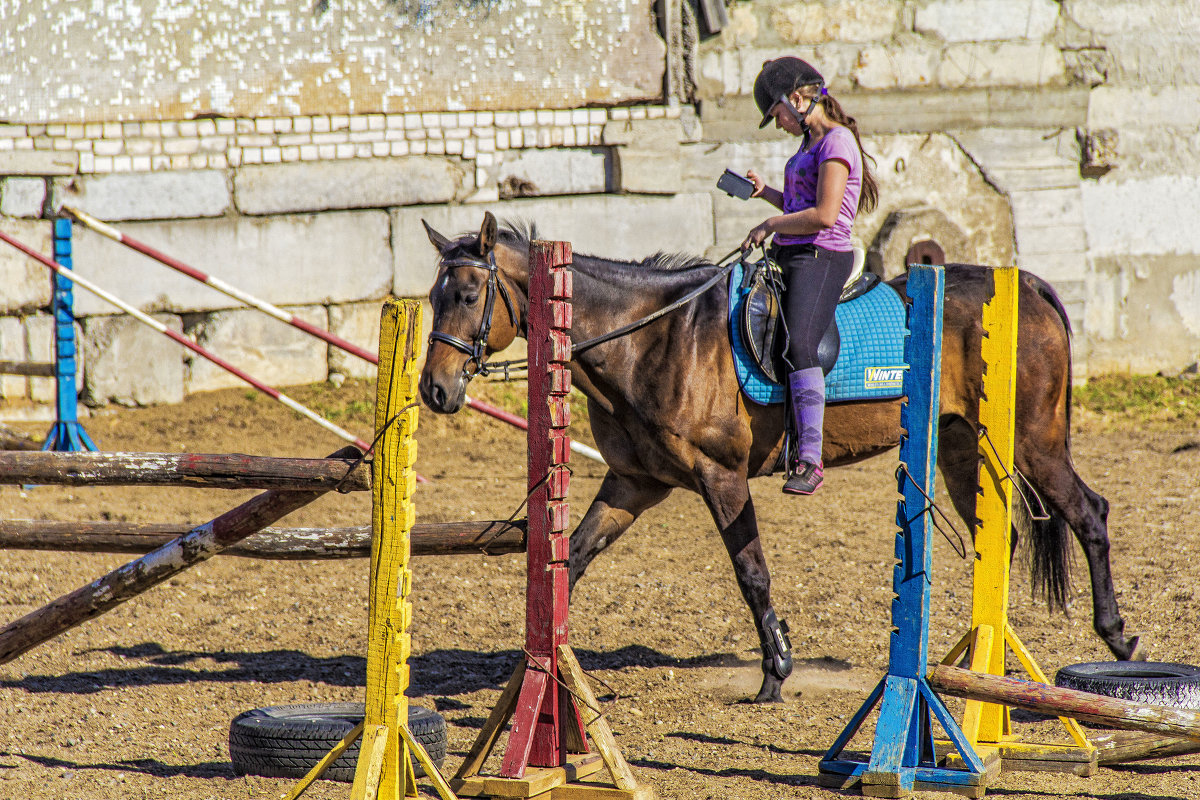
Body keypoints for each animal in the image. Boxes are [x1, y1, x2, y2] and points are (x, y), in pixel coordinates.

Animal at [420, 211, 1132, 700]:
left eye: (466, 296)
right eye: (431, 298)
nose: (435, 390)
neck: (653, 339)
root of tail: (1030, 286)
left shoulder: (720, 476)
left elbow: (751, 572)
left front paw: (776, 672)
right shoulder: (633, 483)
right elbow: (574, 561)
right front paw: (534, 659)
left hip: (1035, 443)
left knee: (1088, 512)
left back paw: (1116, 637)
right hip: (961, 447)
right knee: (999, 541)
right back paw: (980, 659)